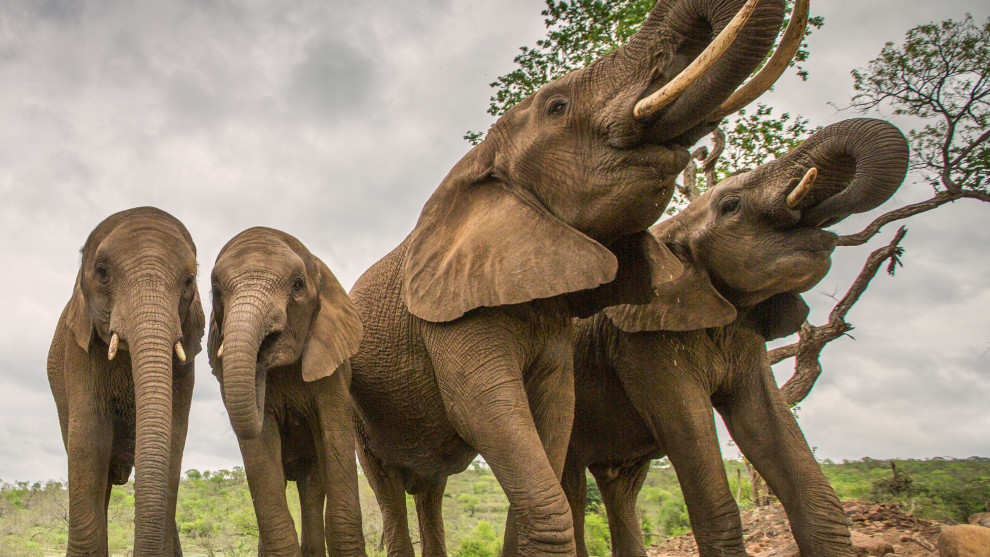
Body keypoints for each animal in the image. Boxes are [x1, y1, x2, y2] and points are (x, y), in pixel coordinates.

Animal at [47, 206, 205, 556]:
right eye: (102, 272)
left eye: (189, 281)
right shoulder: (78, 351)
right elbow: (89, 437)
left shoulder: (185, 361)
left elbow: (174, 433)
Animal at [207, 227, 366, 557]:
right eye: (216, 292)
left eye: (297, 285)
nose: (262, 352)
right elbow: (262, 456)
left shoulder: (333, 371)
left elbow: (335, 436)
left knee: (313, 487)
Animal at [347, 0, 803, 554]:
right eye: (557, 106)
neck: (477, 163)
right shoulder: (450, 320)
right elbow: (482, 410)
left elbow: (555, 413)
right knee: (388, 487)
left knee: (429, 491)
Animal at [561, 118, 910, 557]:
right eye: (732, 207)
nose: (822, 217)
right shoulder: (643, 344)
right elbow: (712, 493)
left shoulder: (745, 341)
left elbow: (791, 459)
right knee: (570, 486)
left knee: (620, 488)